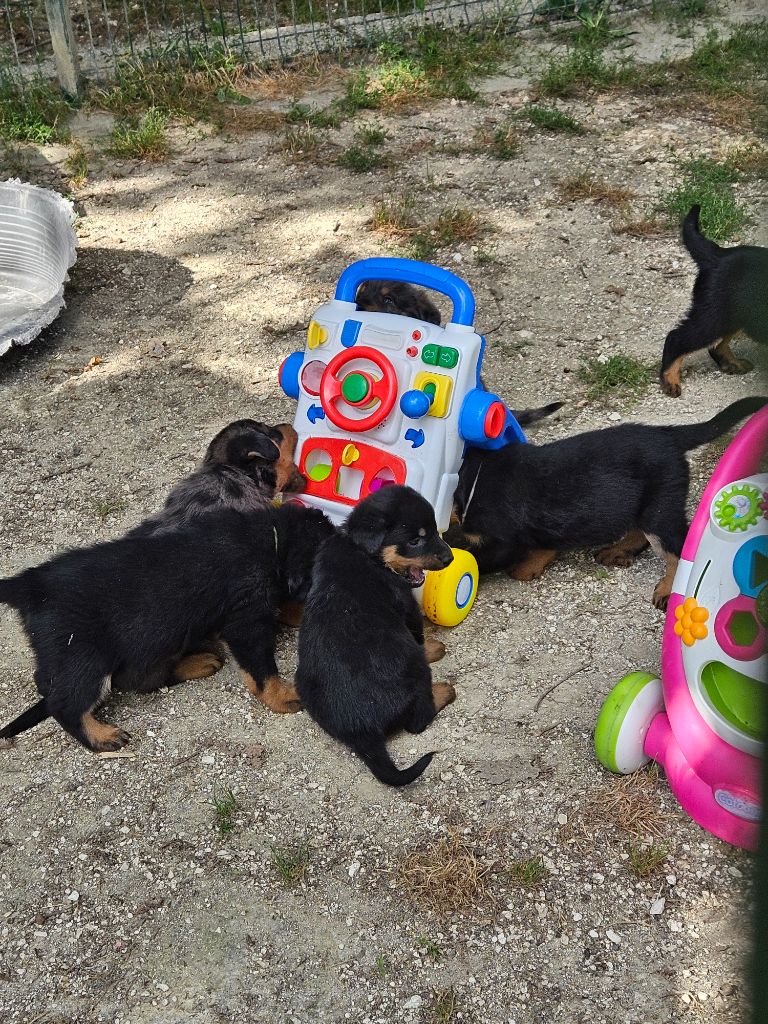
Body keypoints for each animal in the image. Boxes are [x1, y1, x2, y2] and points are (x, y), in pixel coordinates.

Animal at [0, 505, 335, 753]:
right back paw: (101, 737)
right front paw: (283, 696)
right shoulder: (246, 622)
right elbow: (261, 671)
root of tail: (30, 585)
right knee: (65, 702)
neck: (270, 537)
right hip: (84, 655)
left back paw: (199, 662)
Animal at [296, 483, 456, 786]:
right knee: (418, 721)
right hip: (414, 668)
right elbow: (419, 637)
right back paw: (443, 691)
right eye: (415, 540)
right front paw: (433, 648)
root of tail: (361, 730)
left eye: (433, 529)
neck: (364, 552)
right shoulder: (407, 605)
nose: (449, 557)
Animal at [448, 395, 765, 606]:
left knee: (676, 547)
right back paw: (616, 551)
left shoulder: (501, 541)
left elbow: (478, 559)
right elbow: (543, 545)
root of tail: (668, 434)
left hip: (659, 508)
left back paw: (666, 589)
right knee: (640, 532)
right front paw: (530, 567)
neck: (475, 476)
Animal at [663, 205, 768, 397]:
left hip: (732, 315)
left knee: (716, 346)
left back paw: (733, 364)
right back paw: (670, 380)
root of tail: (717, 255)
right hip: (712, 316)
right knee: (675, 338)